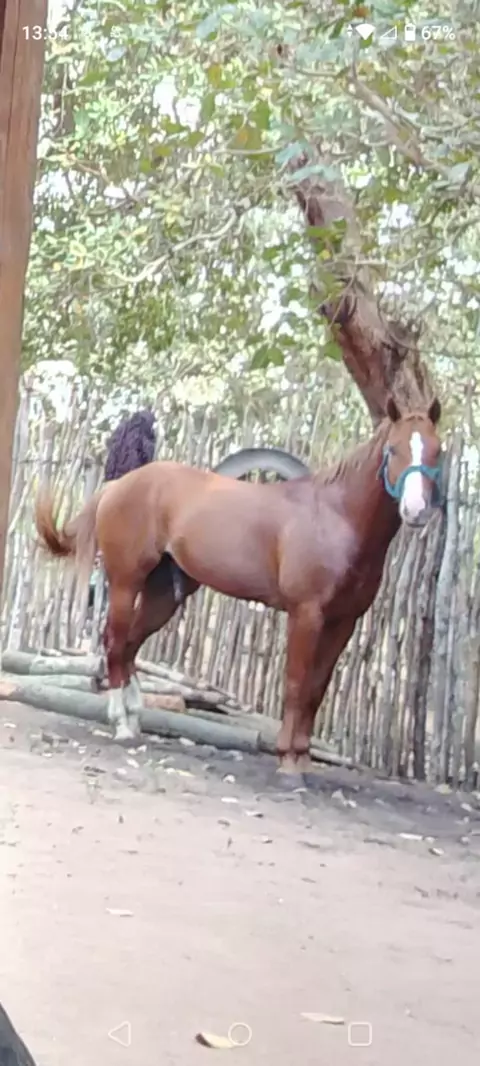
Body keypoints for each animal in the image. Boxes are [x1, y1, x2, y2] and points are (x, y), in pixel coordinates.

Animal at [35, 396, 443, 776]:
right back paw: (120, 722)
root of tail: (117, 486)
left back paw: (135, 718)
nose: (416, 510)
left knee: (130, 645)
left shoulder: (343, 622)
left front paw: (303, 757)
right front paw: (287, 759)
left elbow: (316, 689)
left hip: (162, 595)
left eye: (437, 450)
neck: (334, 516)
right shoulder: (306, 614)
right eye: (394, 449)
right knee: (115, 642)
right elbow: (296, 684)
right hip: (125, 583)